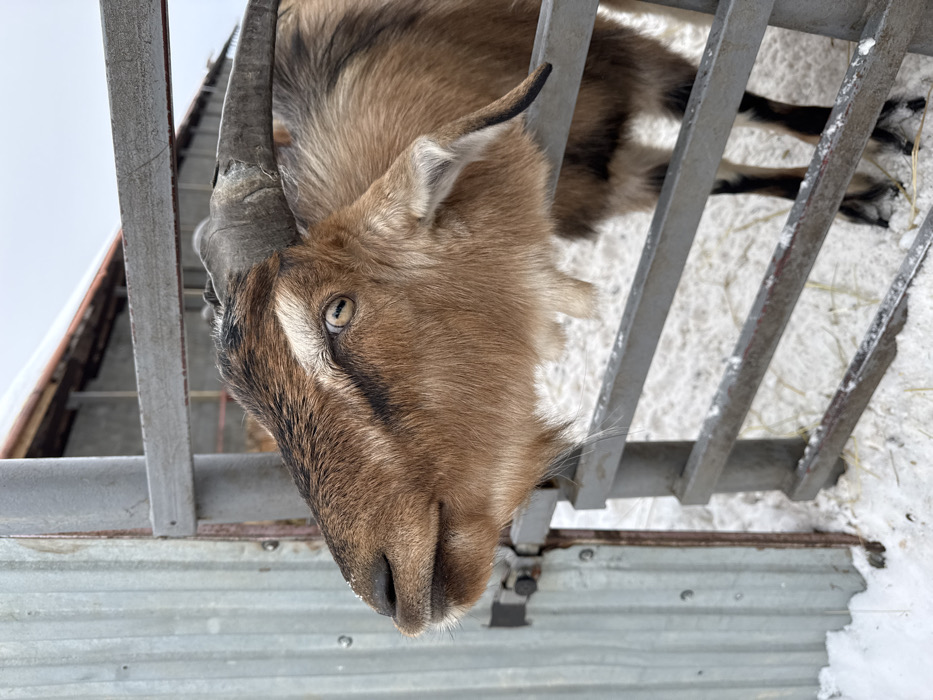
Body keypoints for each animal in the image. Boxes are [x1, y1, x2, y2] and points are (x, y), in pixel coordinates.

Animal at [196, 0, 919, 636]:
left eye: (337, 310)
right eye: (249, 401)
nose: (388, 590)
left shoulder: (622, 57)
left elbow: (734, 101)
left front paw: (888, 126)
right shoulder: (603, 185)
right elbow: (725, 174)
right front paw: (866, 193)